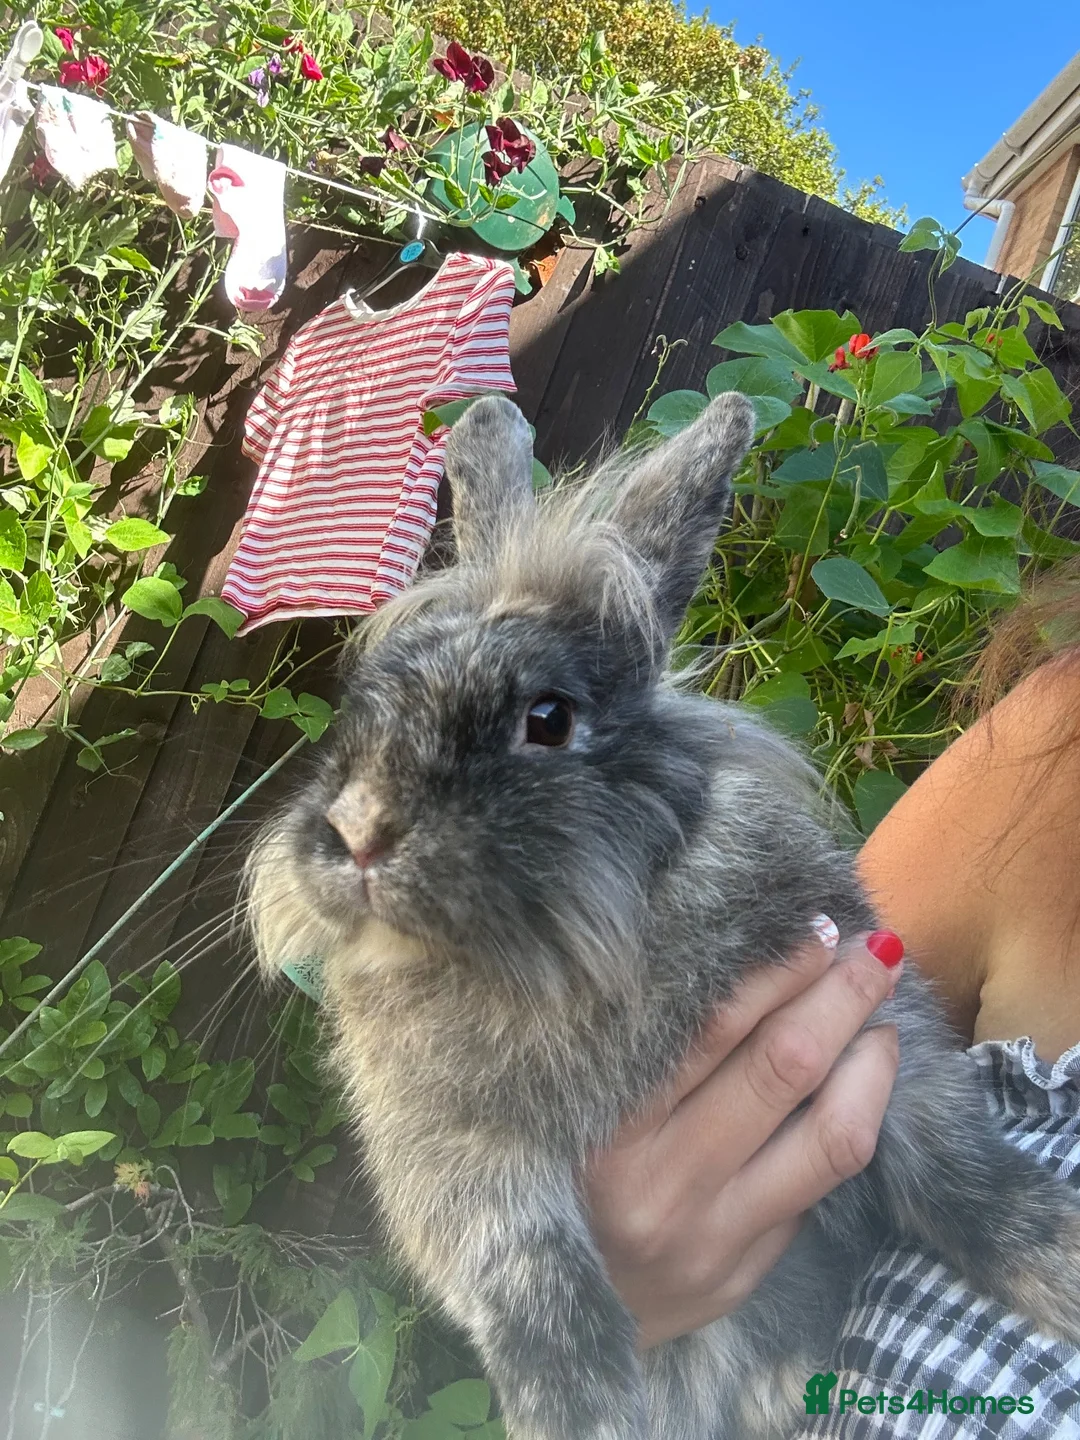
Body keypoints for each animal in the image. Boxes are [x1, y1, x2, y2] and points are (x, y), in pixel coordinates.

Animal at [247, 391, 1080, 1440]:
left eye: (549, 718)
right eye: (360, 711)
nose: (357, 831)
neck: (563, 957)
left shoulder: (894, 1048)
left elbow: (969, 1177)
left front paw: (1069, 1272)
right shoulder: (457, 1159)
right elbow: (537, 1287)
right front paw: (580, 1415)